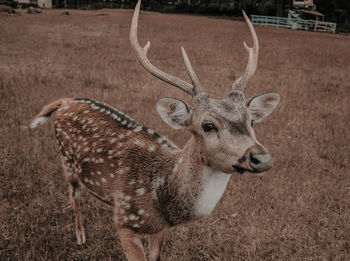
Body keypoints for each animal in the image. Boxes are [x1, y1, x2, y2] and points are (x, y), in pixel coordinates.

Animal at [31, 1, 280, 258]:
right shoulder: (125, 220)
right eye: (208, 125)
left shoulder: (161, 229)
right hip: (66, 158)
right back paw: (80, 236)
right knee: (75, 192)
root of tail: (65, 102)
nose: (261, 158)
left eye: (251, 121)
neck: (160, 198)